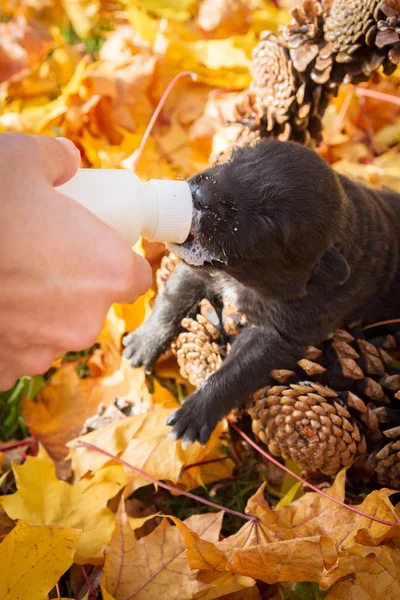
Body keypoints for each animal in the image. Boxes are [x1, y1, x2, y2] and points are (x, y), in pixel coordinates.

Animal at [122, 141, 400, 448]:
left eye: (267, 221)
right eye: (234, 158)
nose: (201, 197)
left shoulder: (278, 336)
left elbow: (236, 372)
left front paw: (194, 413)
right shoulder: (198, 274)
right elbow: (171, 302)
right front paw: (143, 343)